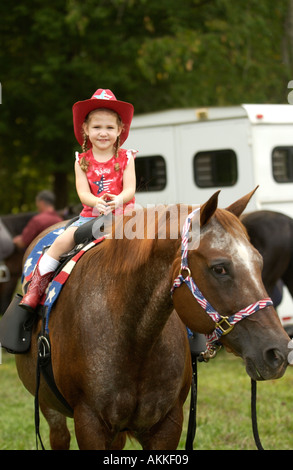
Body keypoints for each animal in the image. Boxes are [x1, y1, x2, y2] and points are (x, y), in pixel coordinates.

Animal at [14, 192, 288, 452]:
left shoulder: (167, 425)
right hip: (49, 407)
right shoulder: (89, 424)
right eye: (219, 268)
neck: (134, 339)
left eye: (259, 263)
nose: (279, 351)